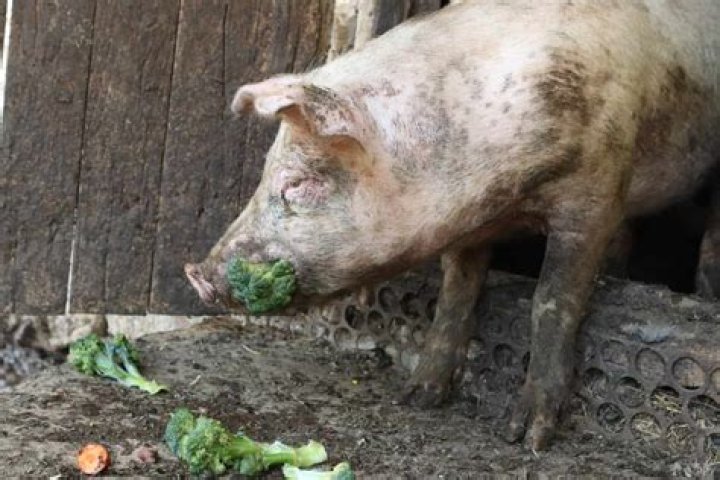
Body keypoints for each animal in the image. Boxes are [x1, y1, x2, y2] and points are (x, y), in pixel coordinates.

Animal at [185, 1, 720, 449]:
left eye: (296, 183)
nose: (198, 275)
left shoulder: (595, 188)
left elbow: (551, 302)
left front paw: (526, 438)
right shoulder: (470, 225)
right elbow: (455, 294)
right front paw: (417, 395)